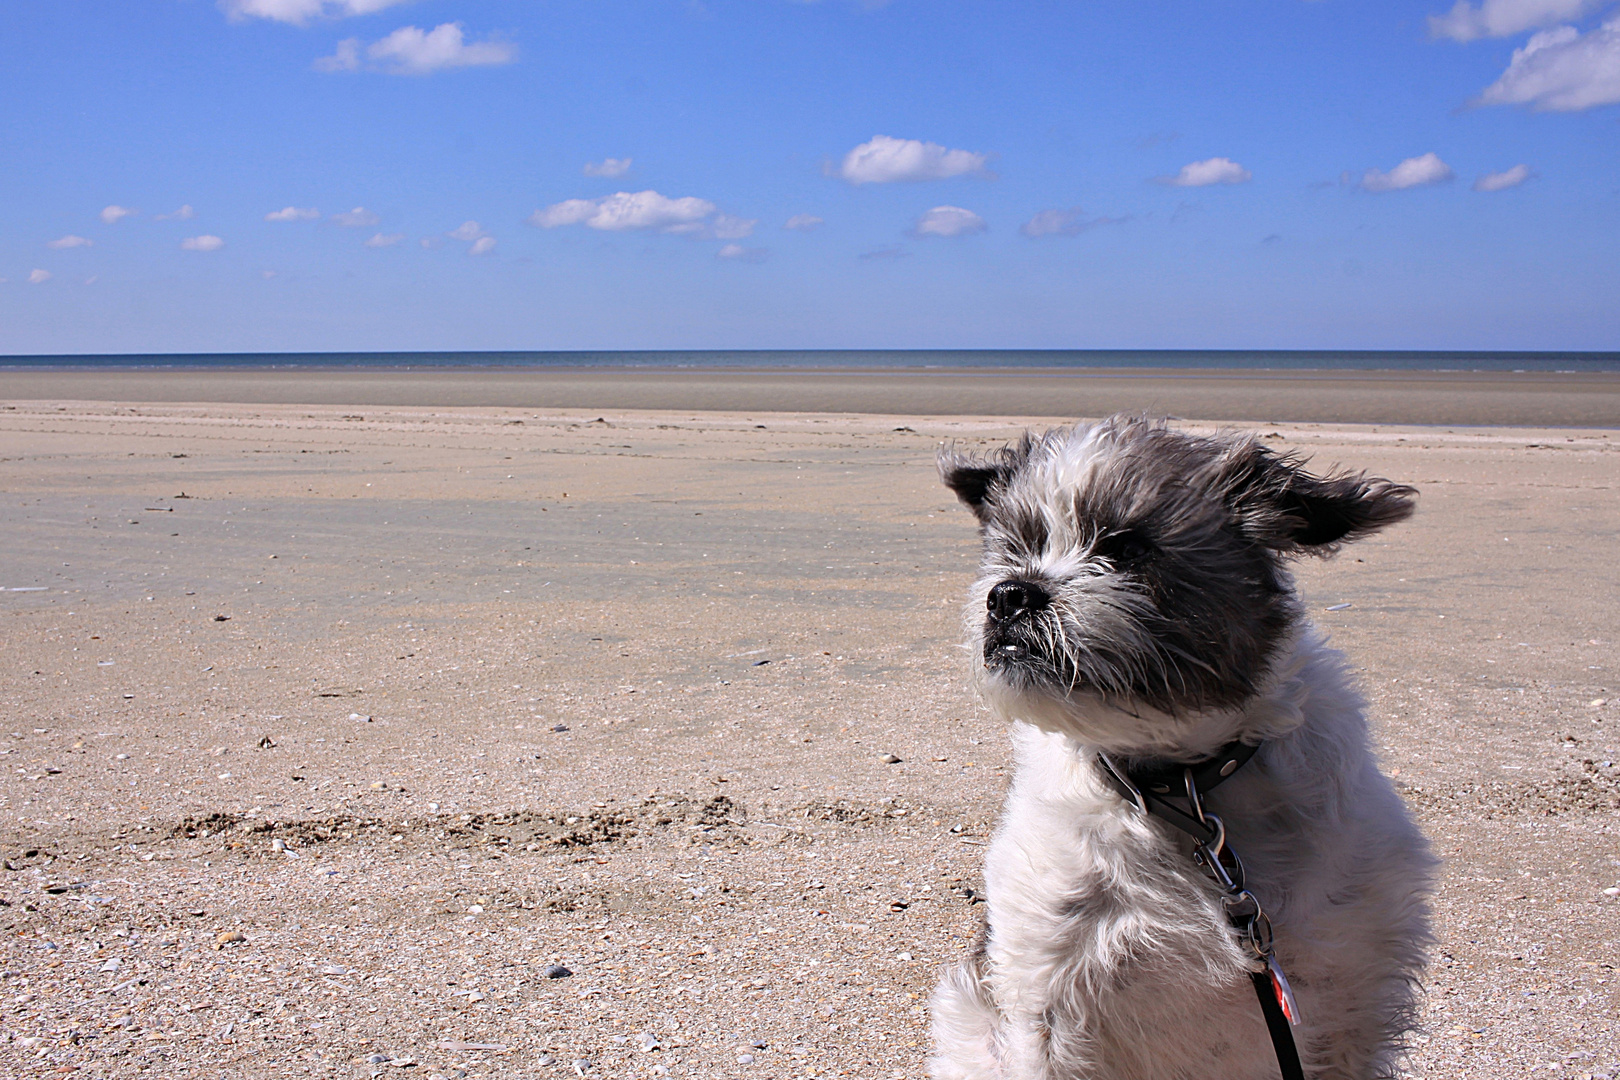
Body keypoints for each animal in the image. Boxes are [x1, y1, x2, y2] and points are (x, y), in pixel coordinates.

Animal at [933, 417, 1438, 1080]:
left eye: (1126, 549)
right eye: (1019, 547)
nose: (1009, 594)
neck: (1179, 787)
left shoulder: (1350, 996)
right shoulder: (1044, 989)